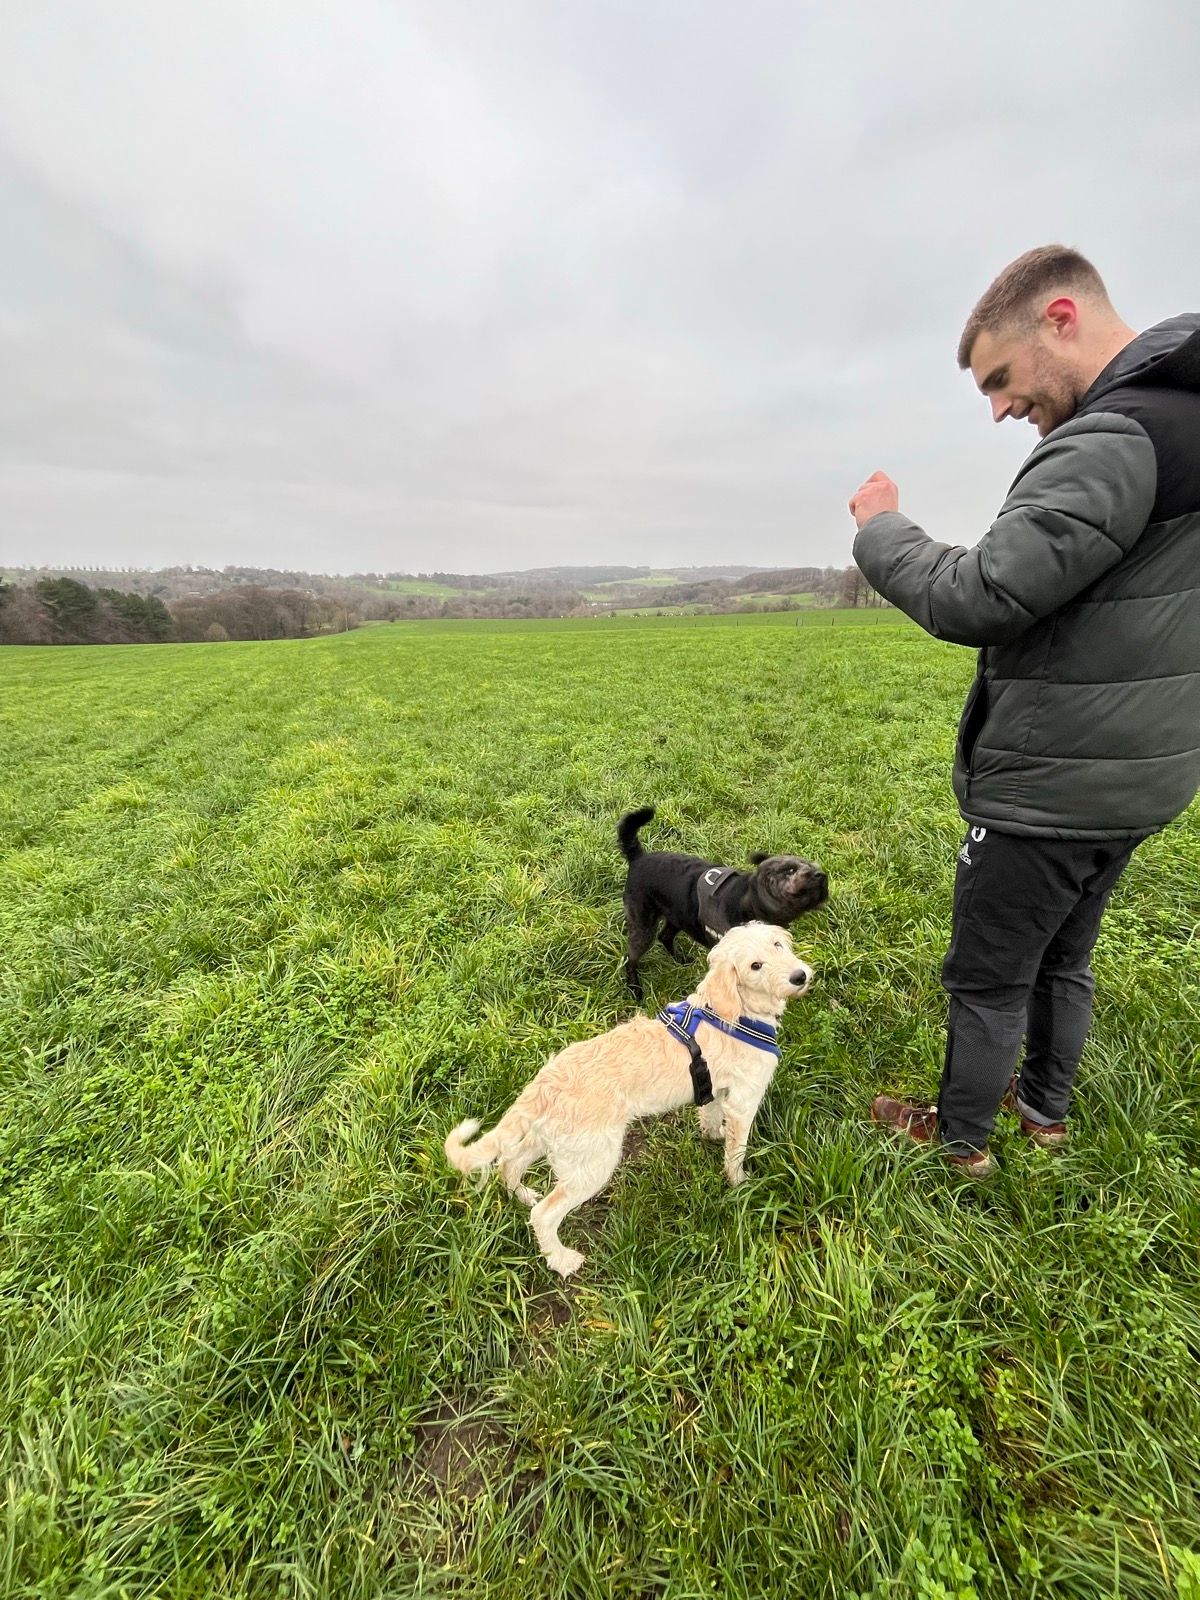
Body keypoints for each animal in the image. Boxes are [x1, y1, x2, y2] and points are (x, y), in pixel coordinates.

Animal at [445, 923, 813, 1278]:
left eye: (777, 945)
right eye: (755, 966)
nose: (800, 976)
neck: (733, 1012)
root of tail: (544, 1084)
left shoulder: (716, 1089)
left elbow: (711, 1115)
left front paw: (713, 1135)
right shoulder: (745, 1101)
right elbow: (736, 1151)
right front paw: (740, 1185)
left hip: (554, 1142)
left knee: (510, 1162)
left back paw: (521, 1195)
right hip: (592, 1163)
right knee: (543, 1214)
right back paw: (561, 1260)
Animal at [618, 805, 828, 1000]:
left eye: (811, 865)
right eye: (790, 870)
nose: (820, 875)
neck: (750, 901)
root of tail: (638, 857)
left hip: (678, 917)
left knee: (665, 937)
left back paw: (680, 959)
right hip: (643, 926)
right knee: (630, 958)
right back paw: (634, 988)